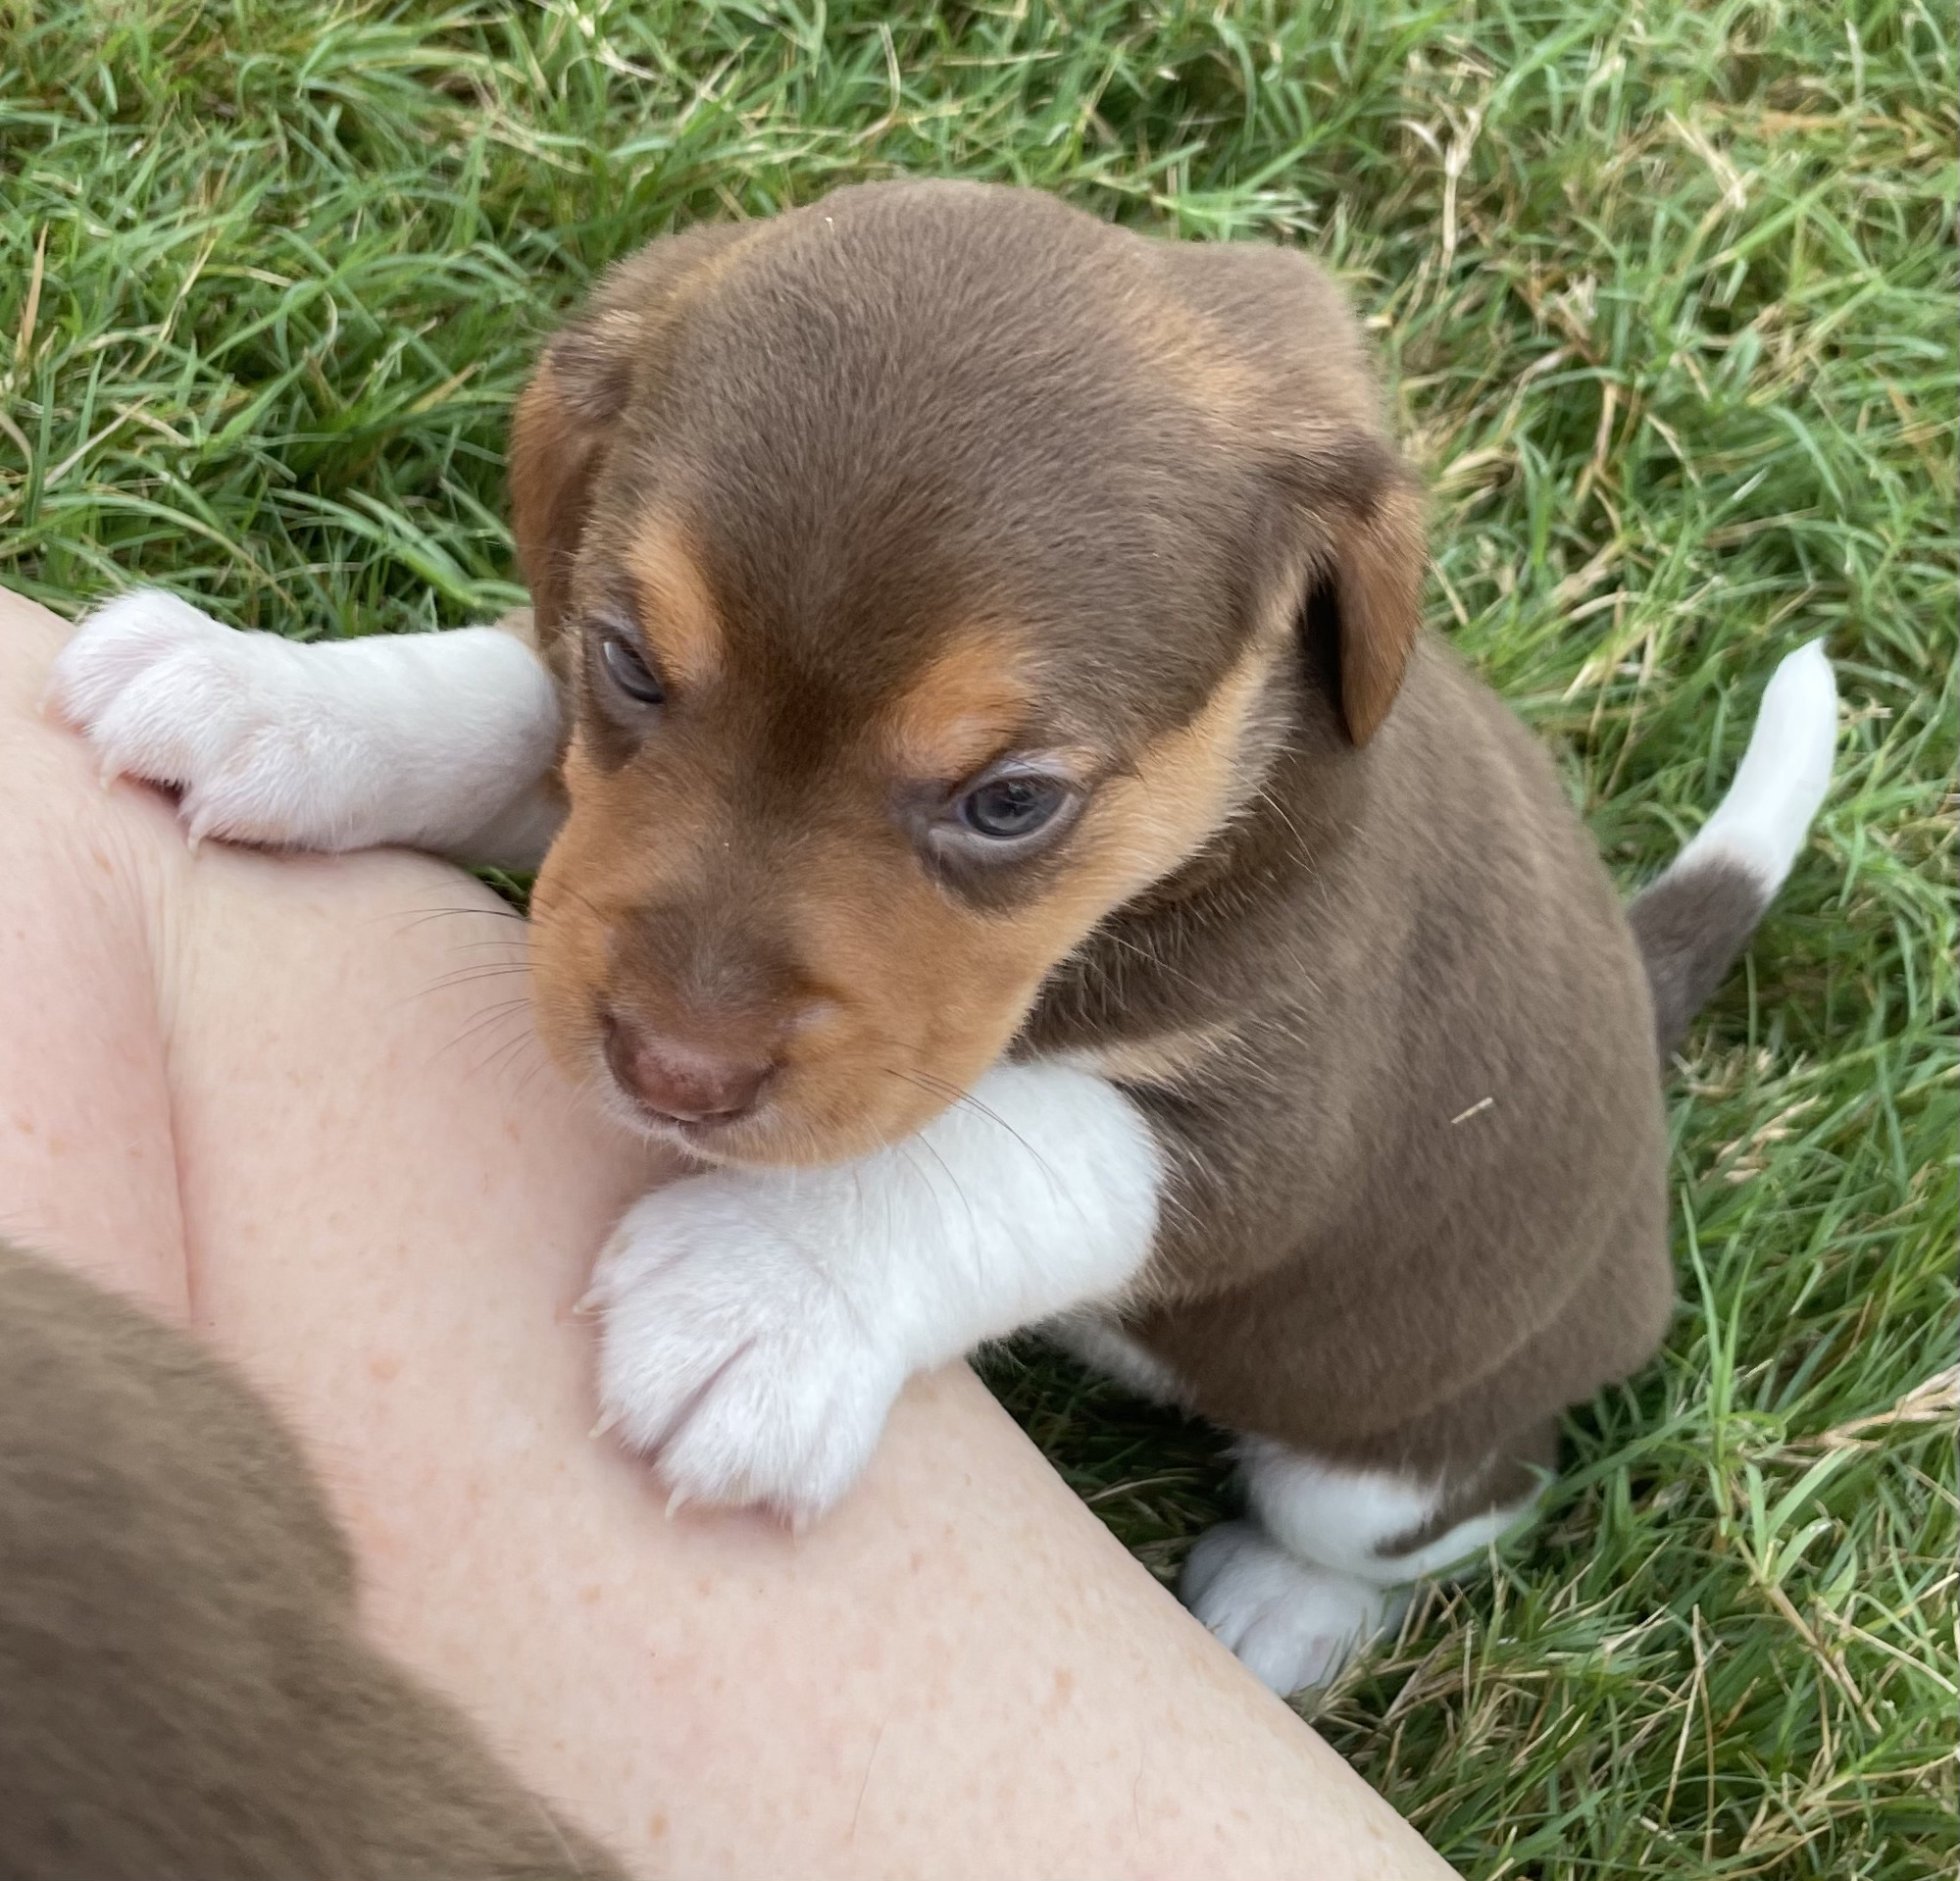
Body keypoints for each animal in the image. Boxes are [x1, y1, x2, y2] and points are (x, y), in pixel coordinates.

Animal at [48, 180, 1838, 1696]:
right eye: (628, 660)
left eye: (1009, 800)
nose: (669, 1073)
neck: (1193, 827)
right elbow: (499, 705)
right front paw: (270, 693)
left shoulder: (1267, 1128)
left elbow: (1003, 1148)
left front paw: (763, 1295)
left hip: (1385, 1441)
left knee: (1453, 1500)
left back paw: (1287, 1604)